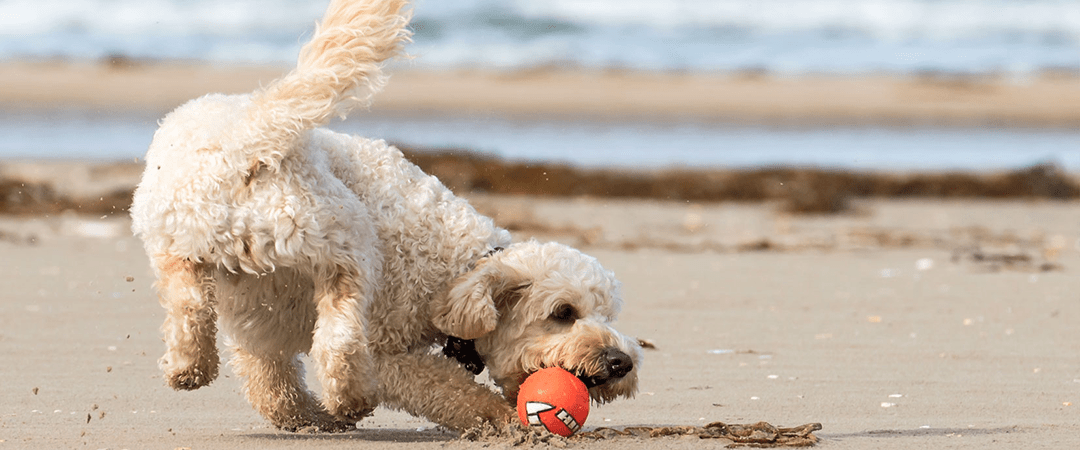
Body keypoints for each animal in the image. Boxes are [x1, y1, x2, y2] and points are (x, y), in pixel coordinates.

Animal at [131, 0, 643, 431]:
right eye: (563, 313)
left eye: (607, 312)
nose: (621, 362)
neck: (457, 269)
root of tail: (250, 138)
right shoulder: (386, 350)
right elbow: (448, 389)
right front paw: (501, 418)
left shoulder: (258, 320)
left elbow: (270, 381)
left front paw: (303, 418)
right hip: (346, 239)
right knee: (339, 333)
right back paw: (348, 397)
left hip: (180, 242)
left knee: (193, 305)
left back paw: (191, 367)